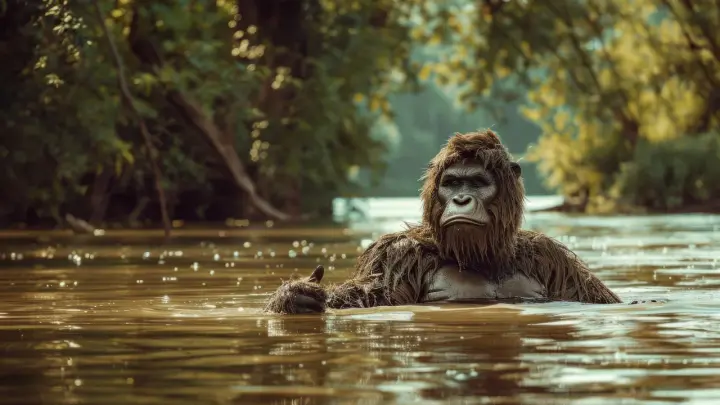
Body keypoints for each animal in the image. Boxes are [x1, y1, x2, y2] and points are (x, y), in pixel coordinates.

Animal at [263, 130, 622, 314]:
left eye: (476, 182)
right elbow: (367, 295)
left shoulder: (551, 256)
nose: (460, 199)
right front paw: (295, 296)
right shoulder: (397, 254)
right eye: (451, 183)